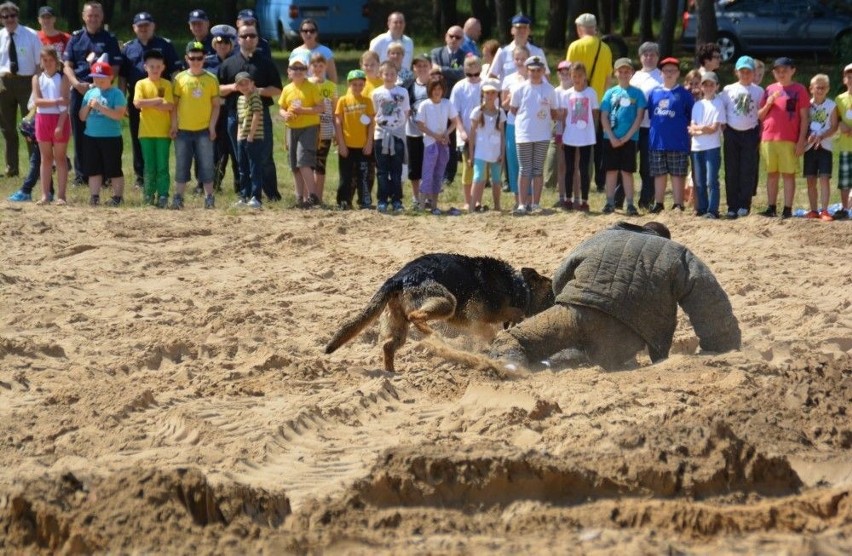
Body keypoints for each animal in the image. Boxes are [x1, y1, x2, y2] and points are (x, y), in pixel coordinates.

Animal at [322, 254, 556, 372]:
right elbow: (510, 314)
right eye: (551, 292)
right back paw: (433, 336)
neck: (518, 285)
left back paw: (391, 373)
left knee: (389, 345)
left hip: (399, 324)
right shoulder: (487, 312)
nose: (559, 301)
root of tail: (398, 278)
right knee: (417, 317)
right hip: (447, 301)